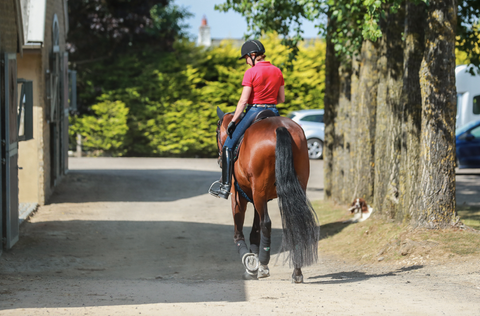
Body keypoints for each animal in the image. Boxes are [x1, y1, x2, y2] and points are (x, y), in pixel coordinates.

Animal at [214, 107, 318, 282]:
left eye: (216, 132)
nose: (220, 159)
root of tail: (281, 128)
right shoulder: (259, 198)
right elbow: (255, 232)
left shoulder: (240, 198)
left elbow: (239, 232)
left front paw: (250, 264)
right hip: (291, 190)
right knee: (295, 223)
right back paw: (297, 272)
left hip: (258, 194)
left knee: (267, 224)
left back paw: (263, 266)